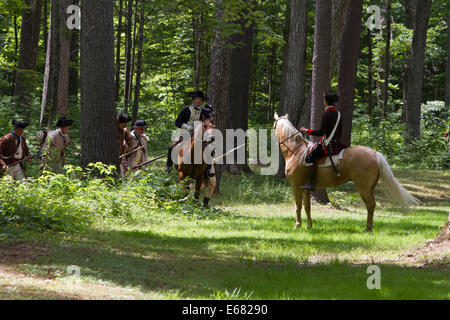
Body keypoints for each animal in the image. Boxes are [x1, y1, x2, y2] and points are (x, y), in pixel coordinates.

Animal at [272, 114, 420, 231]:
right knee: (372, 205)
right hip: (370, 188)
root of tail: (376, 154)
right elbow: (307, 207)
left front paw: (297, 225)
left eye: (274, 125)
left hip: (363, 188)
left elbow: (298, 206)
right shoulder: (306, 188)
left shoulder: (296, 186)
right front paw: (309, 225)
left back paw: (367, 228)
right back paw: (369, 227)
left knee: (370, 205)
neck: (296, 151)